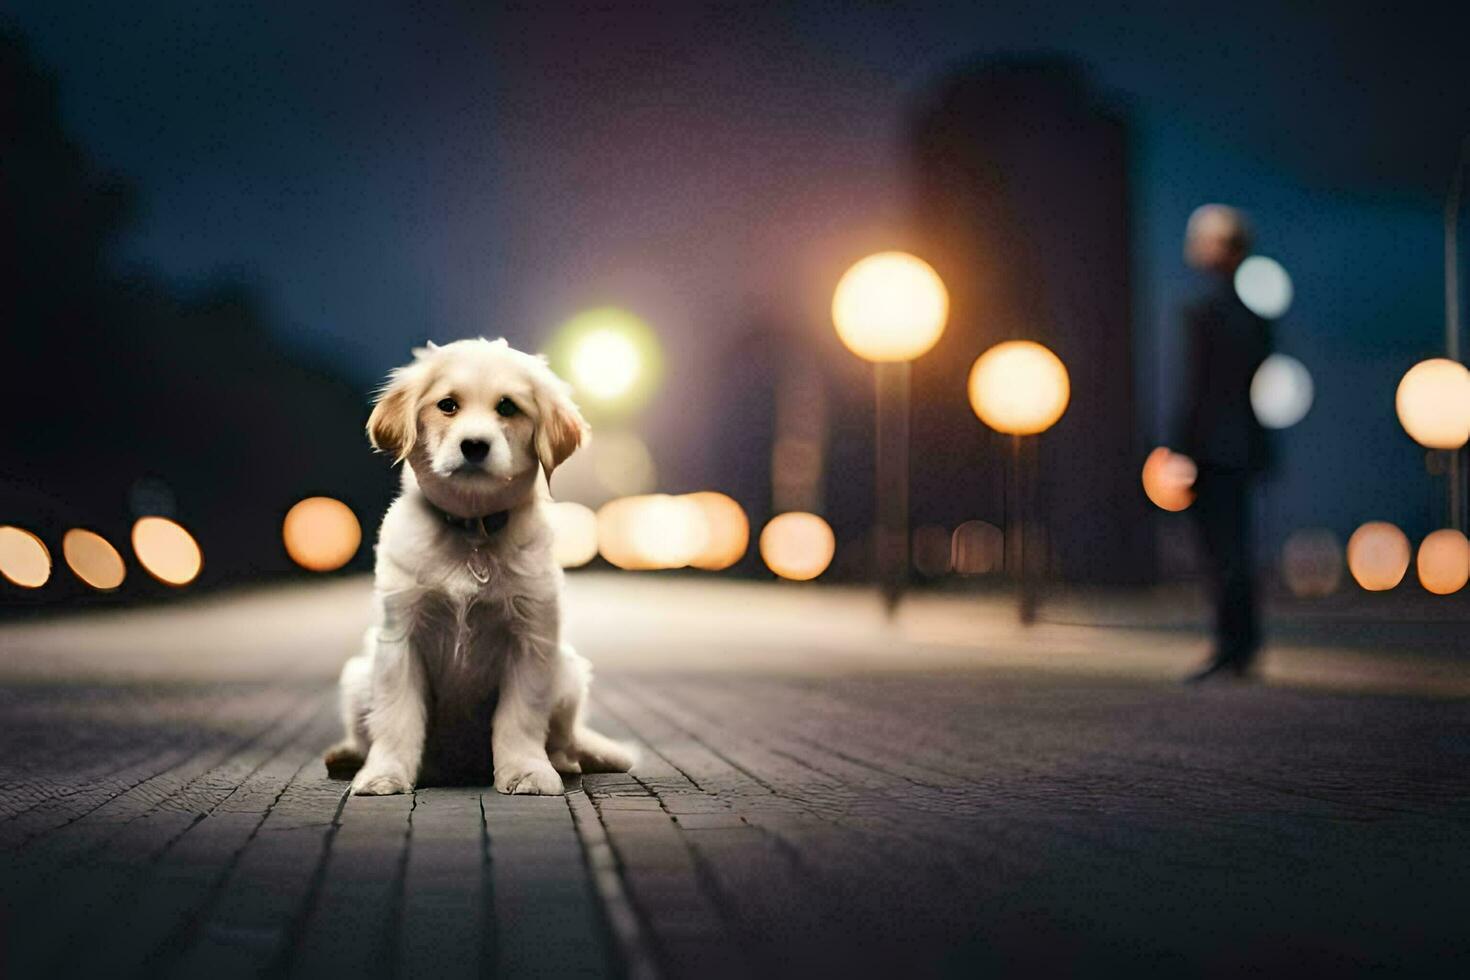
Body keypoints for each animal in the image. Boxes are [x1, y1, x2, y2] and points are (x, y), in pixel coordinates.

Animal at [324, 337, 635, 799]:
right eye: (447, 405)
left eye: (507, 407)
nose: (474, 445)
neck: (472, 531)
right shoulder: (400, 638)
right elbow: (396, 716)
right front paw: (384, 774)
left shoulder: (531, 637)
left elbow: (519, 717)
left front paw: (527, 771)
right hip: (358, 675)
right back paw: (348, 755)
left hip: (567, 672)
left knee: (563, 737)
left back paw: (563, 761)